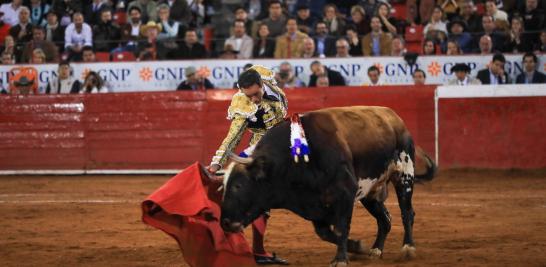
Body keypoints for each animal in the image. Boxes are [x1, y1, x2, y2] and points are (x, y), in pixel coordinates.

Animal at [217, 105, 434, 266]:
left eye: (238, 186)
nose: (225, 222)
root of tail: (394, 118)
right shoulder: (313, 203)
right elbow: (326, 233)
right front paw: (358, 247)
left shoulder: (345, 192)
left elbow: (341, 227)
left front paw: (341, 259)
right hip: (370, 192)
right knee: (385, 219)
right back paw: (375, 250)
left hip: (404, 173)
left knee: (407, 212)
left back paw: (408, 248)